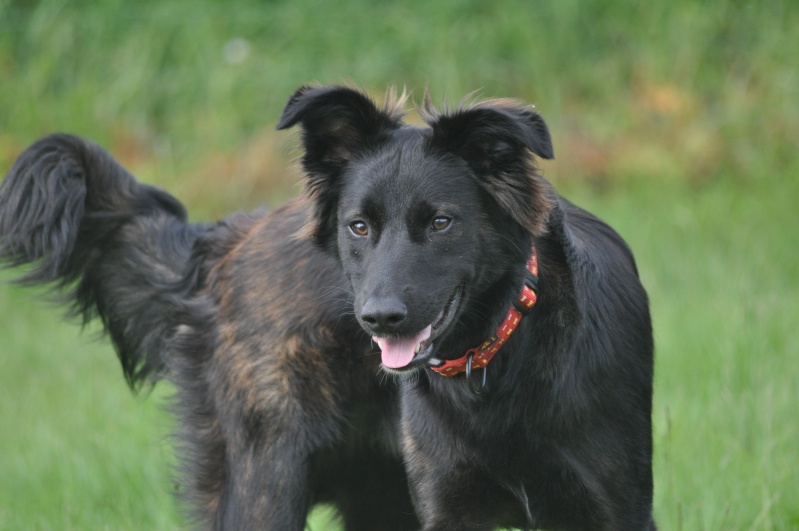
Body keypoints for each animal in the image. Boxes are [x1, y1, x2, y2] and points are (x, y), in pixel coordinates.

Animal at [0, 85, 656, 528]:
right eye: (358, 226)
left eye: (442, 223)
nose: (379, 318)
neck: (496, 363)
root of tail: (227, 243)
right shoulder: (449, 507)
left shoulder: (615, 505)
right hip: (266, 485)